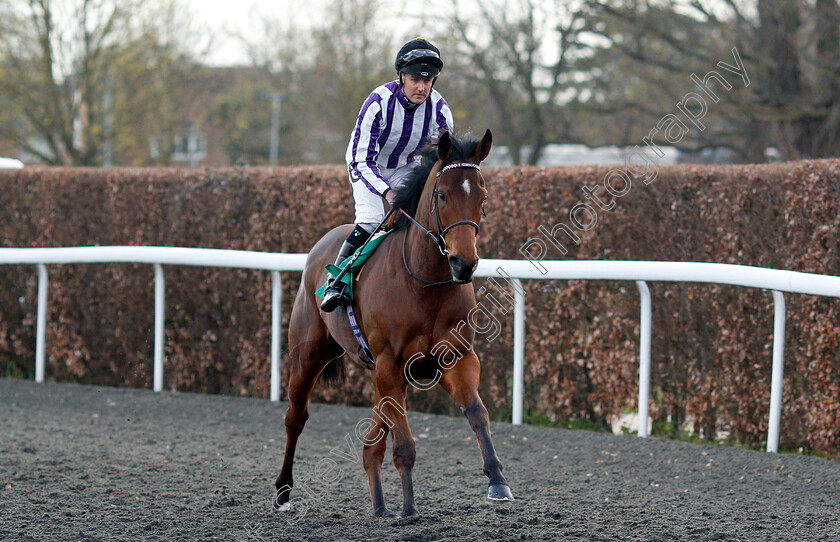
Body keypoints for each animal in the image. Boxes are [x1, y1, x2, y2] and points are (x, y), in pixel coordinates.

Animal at [276, 130, 512, 520]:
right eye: (442, 194)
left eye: (482, 196)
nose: (464, 263)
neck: (425, 282)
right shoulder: (391, 362)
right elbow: (404, 444)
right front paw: (410, 507)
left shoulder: (457, 358)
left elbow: (478, 413)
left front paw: (498, 481)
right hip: (308, 354)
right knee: (296, 417)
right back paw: (282, 492)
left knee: (372, 443)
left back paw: (380, 506)